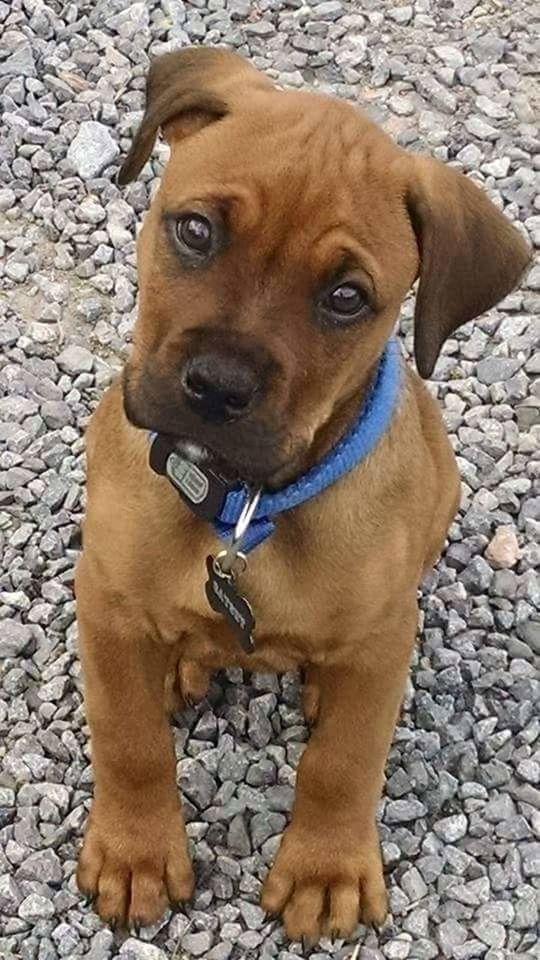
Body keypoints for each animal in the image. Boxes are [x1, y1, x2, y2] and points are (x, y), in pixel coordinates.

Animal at [75, 48, 528, 940]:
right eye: (196, 231)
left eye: (346, 297)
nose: (217, 387)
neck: (241, 502)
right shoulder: (103, 601)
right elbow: (128, 738)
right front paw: (135, 852)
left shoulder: (385, 635)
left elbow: (344, 759)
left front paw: (326, 870)